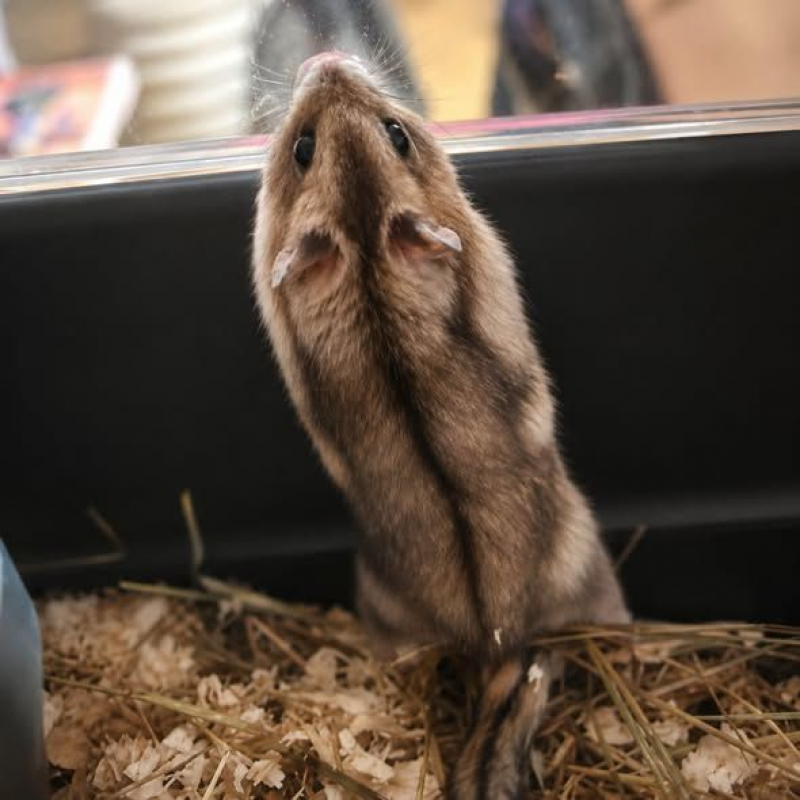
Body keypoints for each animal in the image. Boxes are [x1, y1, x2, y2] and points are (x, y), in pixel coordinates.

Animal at [252, 51, 630, 800]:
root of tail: (498, 641)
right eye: (303, 147)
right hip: (600, 581)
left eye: (396, 133)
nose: (326, 59)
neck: (370, 267)